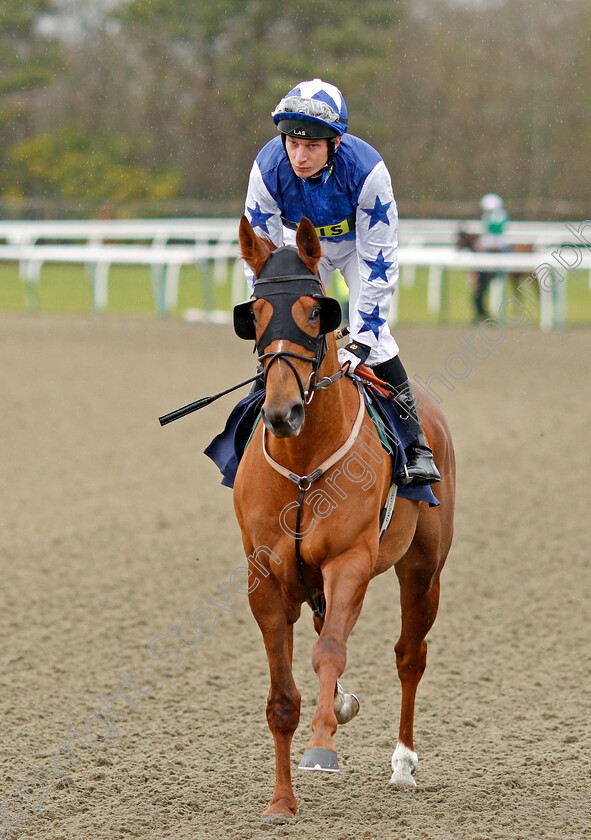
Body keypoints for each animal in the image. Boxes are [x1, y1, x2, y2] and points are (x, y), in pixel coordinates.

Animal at [234, 213, 456, 816]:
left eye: (315, 312)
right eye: (254, 314)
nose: (282, 412)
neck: (304, 465)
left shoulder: (349, 560)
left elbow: (329, 652)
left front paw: (322, 746)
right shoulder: (267, 576)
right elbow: (282, 697)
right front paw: (281, 802)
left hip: (423, 567)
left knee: (409, 655)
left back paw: (402, 764)